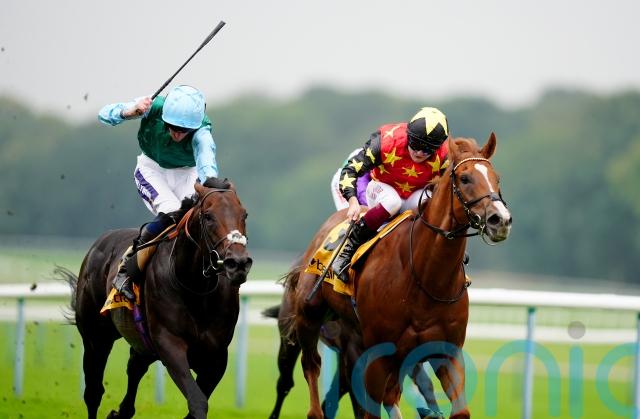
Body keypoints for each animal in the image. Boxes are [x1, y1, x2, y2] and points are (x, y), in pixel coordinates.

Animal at [61, 178, 252, 419]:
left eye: (244, 214)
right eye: (208, 216)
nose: (238, 263)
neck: (196, 288)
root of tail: (100, 241)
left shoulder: (216, 357)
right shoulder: (169, 344)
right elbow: (198, 402)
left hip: (141, 342)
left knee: (134, 368)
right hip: (96, 337)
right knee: (93, 392)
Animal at [274, 134, 511, 418]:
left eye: (497, 178)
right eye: (464, 178)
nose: (500, 220)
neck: (425, 278)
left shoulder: (446, 351)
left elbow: (459, 410)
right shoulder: (381, 352)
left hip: (356, 337)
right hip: (308, 317)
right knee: (311, 367)